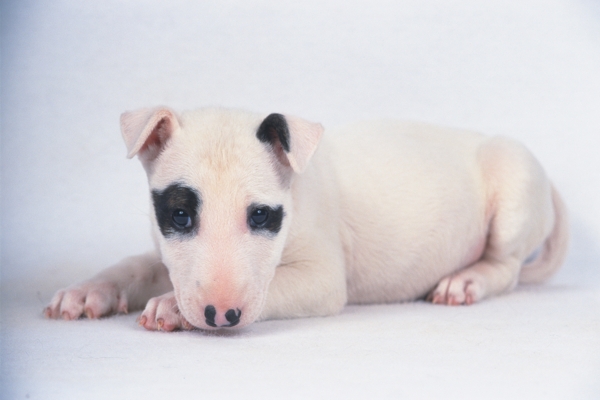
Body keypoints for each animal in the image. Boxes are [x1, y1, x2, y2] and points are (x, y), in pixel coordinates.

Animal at [44, 107, 568, 332]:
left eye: (261, 216)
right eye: (179, 214)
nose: (221, 314)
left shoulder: (321, 277)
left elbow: (275, 285)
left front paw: (170, 307)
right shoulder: (172, 256)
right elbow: (139, 264)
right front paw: (86, 293)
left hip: (513, 184)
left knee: (506, 266)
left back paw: (465, 281)